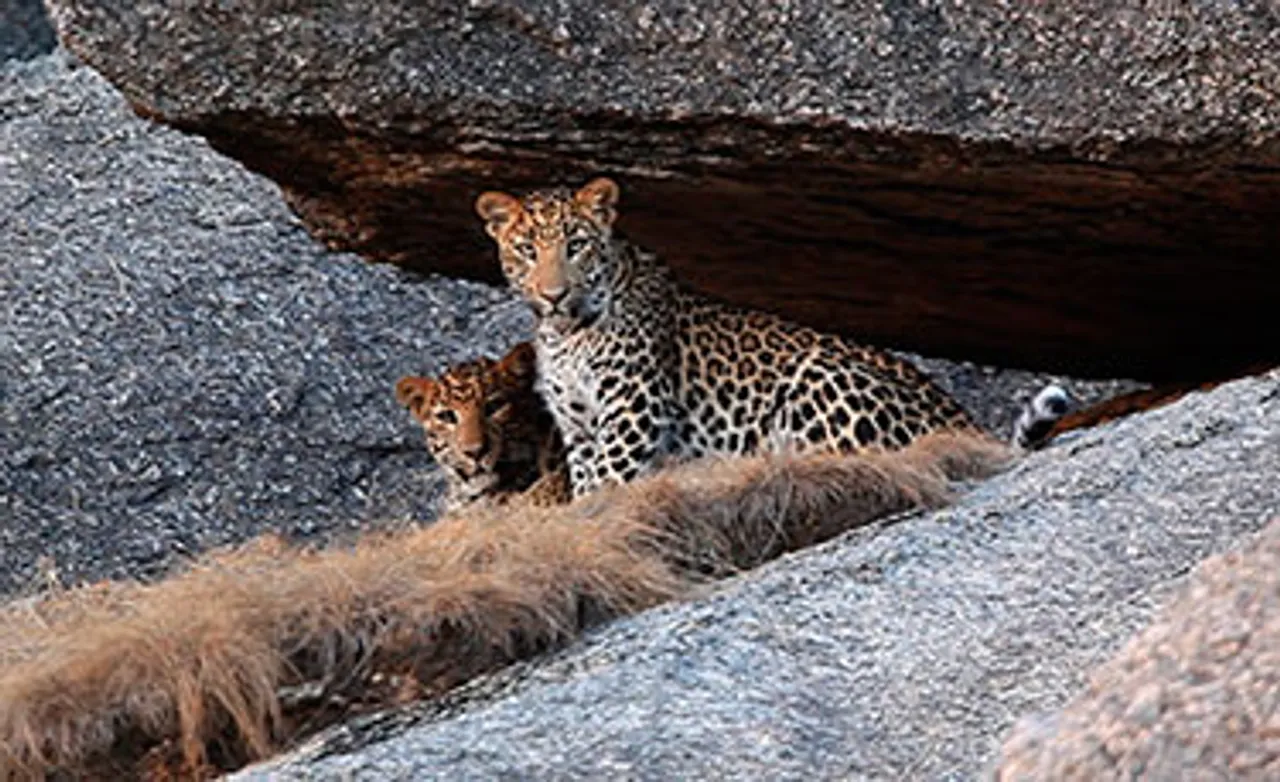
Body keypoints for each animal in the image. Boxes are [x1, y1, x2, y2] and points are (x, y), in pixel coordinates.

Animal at [476, 177, 1069, 498]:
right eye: (527, 249)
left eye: (576, 245)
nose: (553, 294)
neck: (566, 332)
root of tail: (970, 427)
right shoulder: (578, 426)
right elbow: (588, 479)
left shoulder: (633, 408)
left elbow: (609, 479)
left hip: (822, 377)